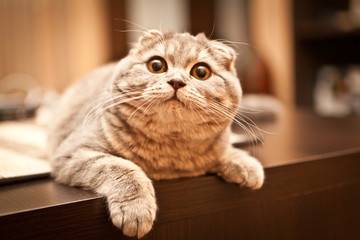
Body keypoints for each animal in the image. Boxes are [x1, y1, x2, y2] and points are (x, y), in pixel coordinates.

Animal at [47, 30, 262, 238]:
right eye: (156, 65)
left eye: (201, 72)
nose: (176, 81)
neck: (169, 150)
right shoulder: (72, 153)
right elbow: (120, 167)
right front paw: (136, 208)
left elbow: (223, 150)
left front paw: (245, 164)